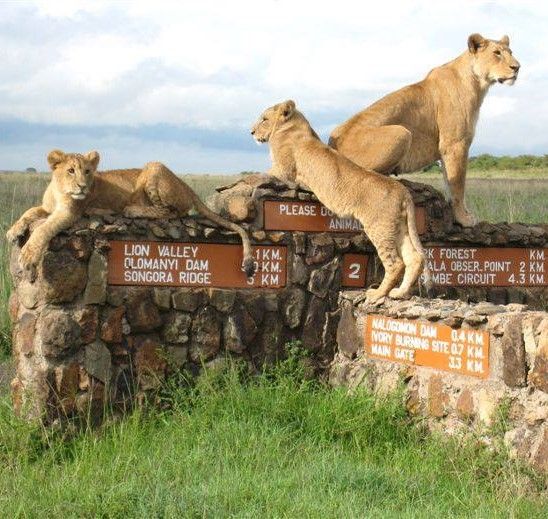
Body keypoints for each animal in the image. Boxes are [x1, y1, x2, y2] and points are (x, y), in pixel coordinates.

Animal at [6, 151, 256, 276]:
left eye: (87, 172)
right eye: (71, 171)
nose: (83, 187)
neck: (60, 190)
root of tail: (185, 184)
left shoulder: (69, 213)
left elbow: (44, 228)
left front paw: (27, 256)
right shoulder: (46, 208)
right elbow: (29, 212)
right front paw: (13, 231)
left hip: (154, 167)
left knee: (172, 213)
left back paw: (131, 209)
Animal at [252, 100, 432, 300]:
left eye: (264, 119)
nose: (251, 132)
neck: (294, 125)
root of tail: (402, 191)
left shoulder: (282, 169)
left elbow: (258, 175)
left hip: (380, 227)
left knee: (396, 263)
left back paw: (377, 294)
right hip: (398, 226)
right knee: (415, 258)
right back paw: (399, 293)